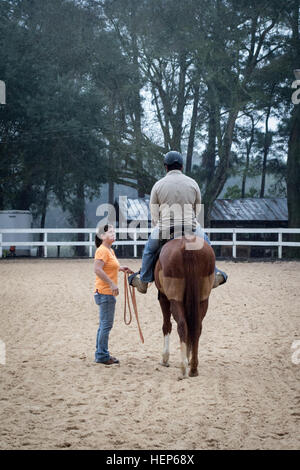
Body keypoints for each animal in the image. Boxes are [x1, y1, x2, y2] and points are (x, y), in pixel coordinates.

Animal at [155, 233, 216, 380]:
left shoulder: (163, 298)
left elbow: (166, 325)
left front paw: (165, 358)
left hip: (175, 300)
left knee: (182, 325)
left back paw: (183, 368)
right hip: (203, 300)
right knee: (196, 327)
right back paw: (193, 368)